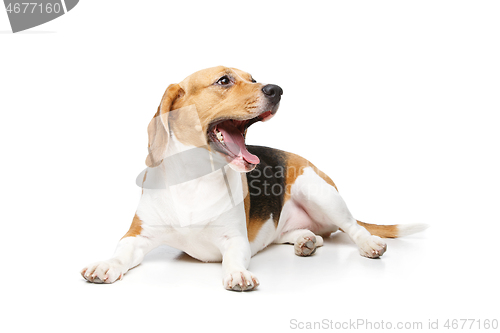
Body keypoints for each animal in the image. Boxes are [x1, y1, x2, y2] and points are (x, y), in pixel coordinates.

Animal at [81, 66, 426, 290]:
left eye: (254, 79)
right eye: (224, 80)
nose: (277, 89)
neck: (194, 180)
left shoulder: (234, 239)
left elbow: (233, 258)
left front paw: (237, 274)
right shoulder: (137, 235)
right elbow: (121, 252)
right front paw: (105, 264)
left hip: (317, 191)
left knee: (353, 227)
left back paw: (368, 243)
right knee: (302, 233)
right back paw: (306, 240)